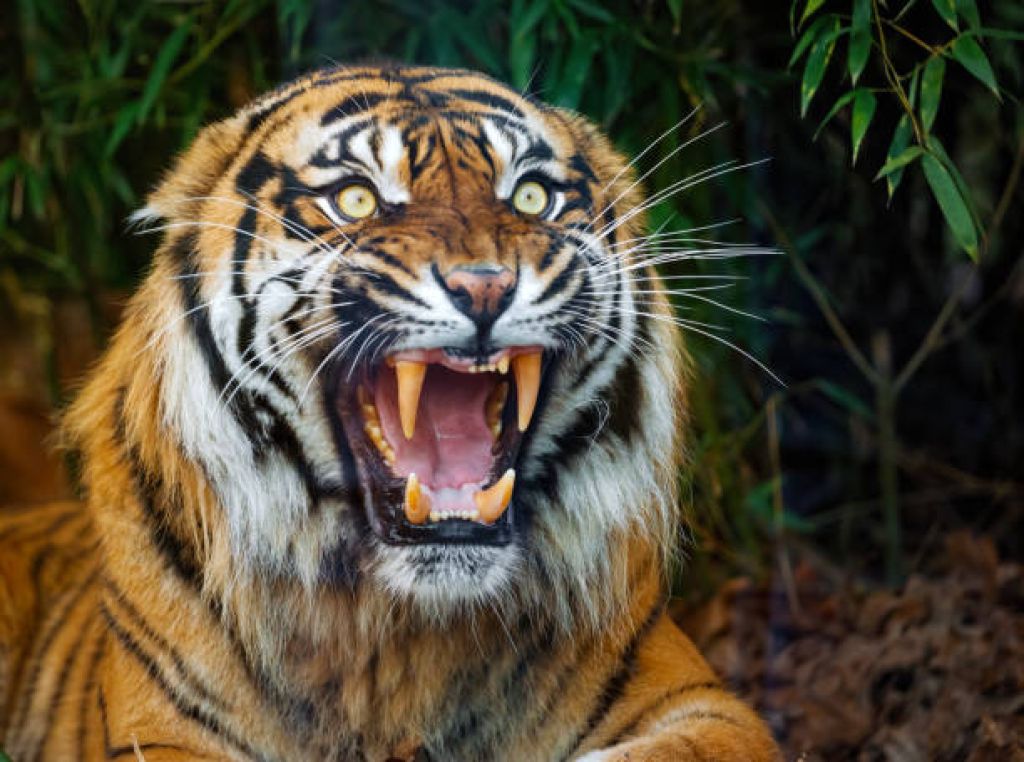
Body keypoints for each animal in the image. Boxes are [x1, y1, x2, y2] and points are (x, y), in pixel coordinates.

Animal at [0, 64, 779, 761]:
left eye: (531, 196)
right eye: (355, 200)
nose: (485, 287)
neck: (403, 629)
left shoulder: (708, 706)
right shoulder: (163, 734)